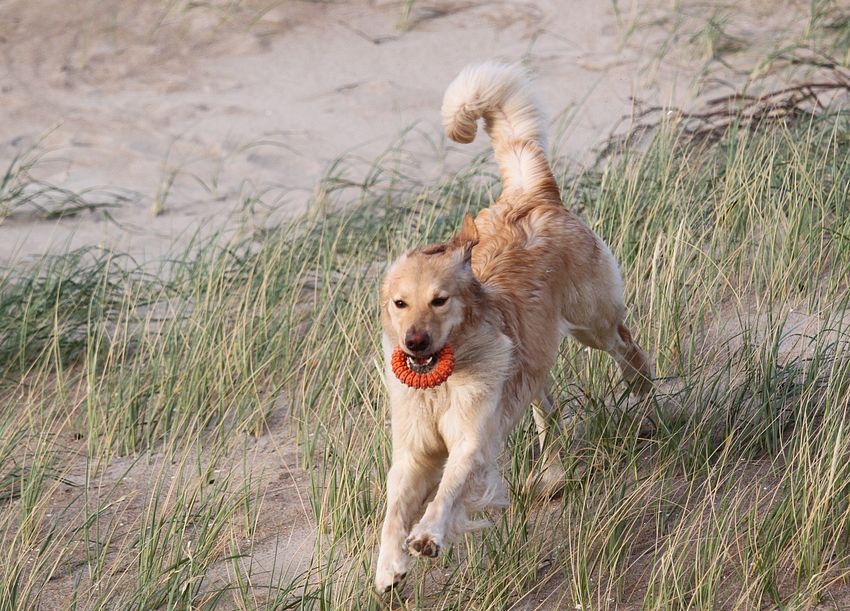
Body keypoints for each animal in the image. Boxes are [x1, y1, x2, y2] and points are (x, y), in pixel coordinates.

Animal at [375, 61, 653, 592]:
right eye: (400, 303)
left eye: (439, 300)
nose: (415, 343)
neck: (443, 380)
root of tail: (529, 193)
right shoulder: (414, 452)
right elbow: (394, 510)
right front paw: (388, 566)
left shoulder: (471, 441)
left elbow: (448, 491)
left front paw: (429, 536)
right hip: (534, 366)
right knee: (549, 413)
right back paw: (554, 475)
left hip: (590, 322)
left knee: (625, 341)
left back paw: (641, 382)